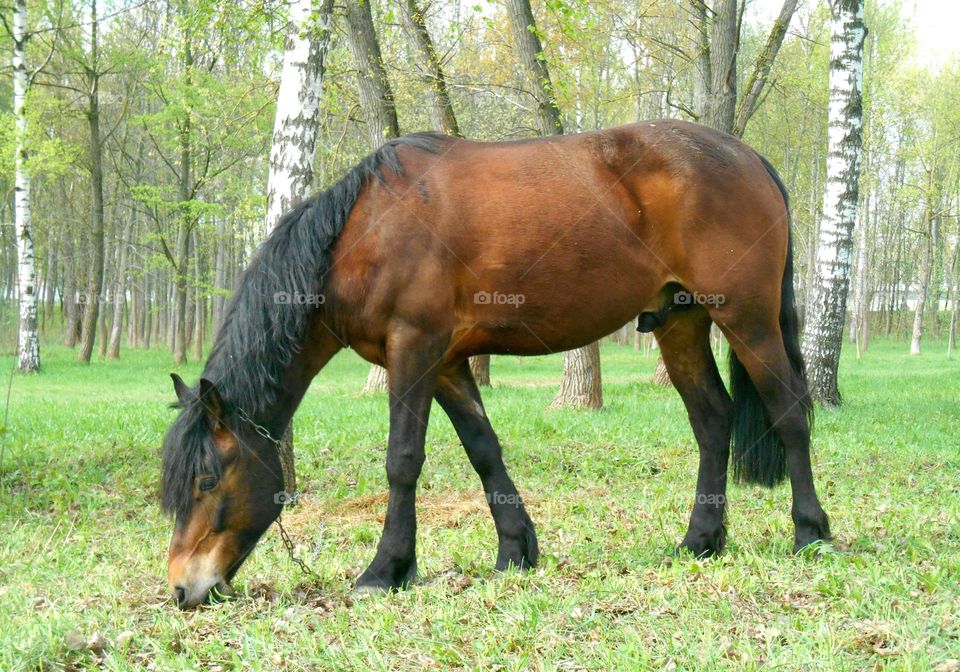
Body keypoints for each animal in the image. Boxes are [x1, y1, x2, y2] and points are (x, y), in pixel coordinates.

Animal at [161, 119, 831, 609]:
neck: (365, 232)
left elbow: (403, 460)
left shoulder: (414, 349)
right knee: (713, 420)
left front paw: (386, 569)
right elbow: (484, 450)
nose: (182, 589)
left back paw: (811, 533)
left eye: (206, 480)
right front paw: (514, 552)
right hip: (680, 322)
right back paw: (700, 541)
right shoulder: (449, 363)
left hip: (746, 318)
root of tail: (749, 158)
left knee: (791, 413)